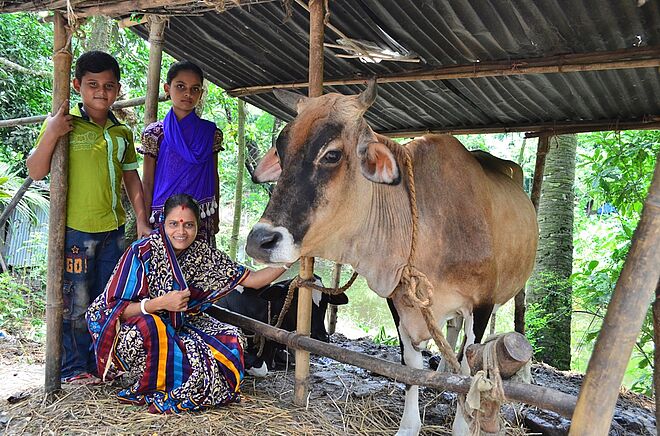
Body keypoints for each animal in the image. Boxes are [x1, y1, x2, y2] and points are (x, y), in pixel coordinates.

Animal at [245, 82, 540, 436]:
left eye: (332, 154)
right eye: (281, 151)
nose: (260, 240)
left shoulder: (481, 305)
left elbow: (470, 372)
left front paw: (461, 425)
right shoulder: (399, 301)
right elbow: (410, 367)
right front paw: (409, 425)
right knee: (450, 331)